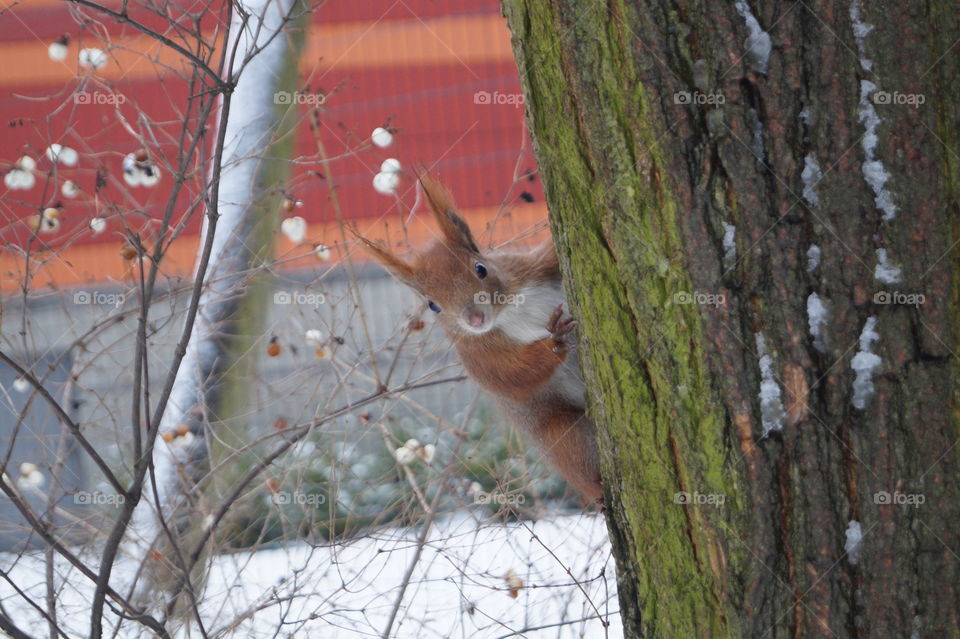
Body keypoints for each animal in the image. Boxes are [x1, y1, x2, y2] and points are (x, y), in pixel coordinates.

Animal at [356, 172, 602, 505]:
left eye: (481, 268)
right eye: (432, 304)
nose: (475, 319)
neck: (508, 310)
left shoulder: (533, 268)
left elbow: (549, 254)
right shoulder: (478, 355)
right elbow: (513, 376)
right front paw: (555, 340)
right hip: (565, 436)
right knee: (581, 465)